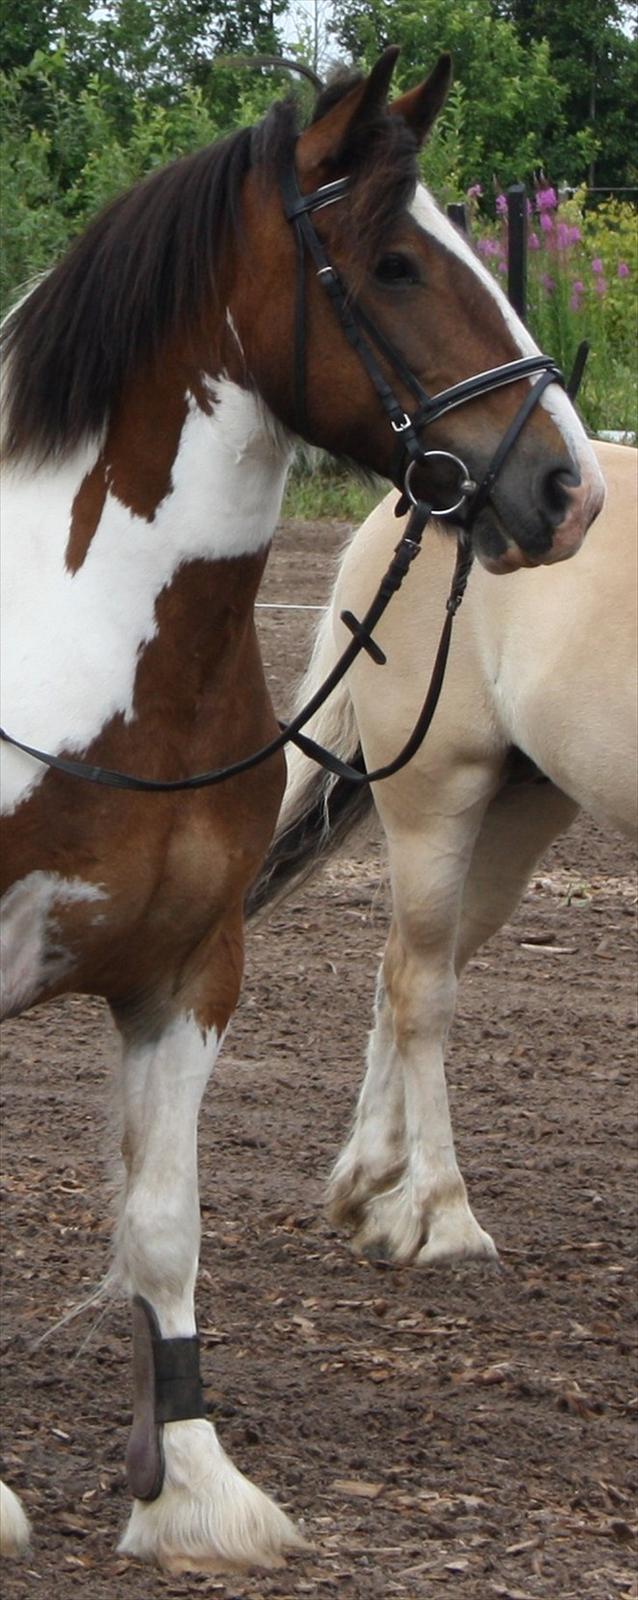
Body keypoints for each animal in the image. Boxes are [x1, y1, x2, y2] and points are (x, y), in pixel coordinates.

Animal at [252, 444, 636, 1267]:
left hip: (519, 812)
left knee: (400, 973)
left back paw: (370, 1191)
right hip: (436, 796)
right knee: (420, 988)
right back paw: (440, 1214)